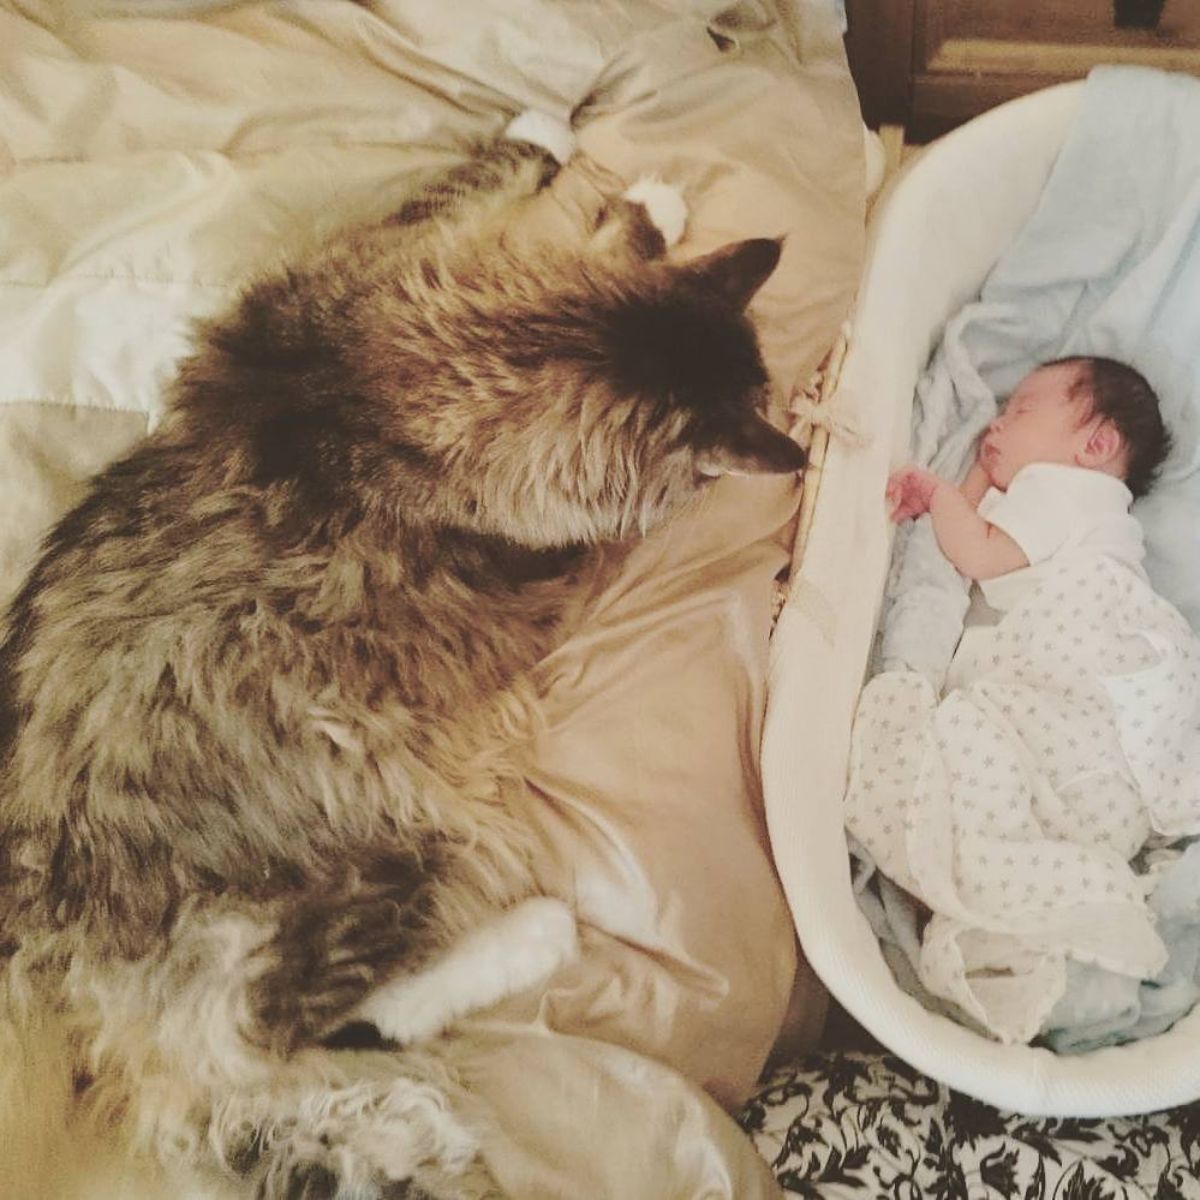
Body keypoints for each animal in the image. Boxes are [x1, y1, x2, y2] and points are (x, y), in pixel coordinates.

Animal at [2, 114, 806, 1200]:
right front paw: (620, 179)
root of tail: (31, 945)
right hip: (379, 840)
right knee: (272, 1033)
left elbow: (487, 194)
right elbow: (492, 182)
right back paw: (534, 938)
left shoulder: (347, 280)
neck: (373, 395)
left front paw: (613, 185)